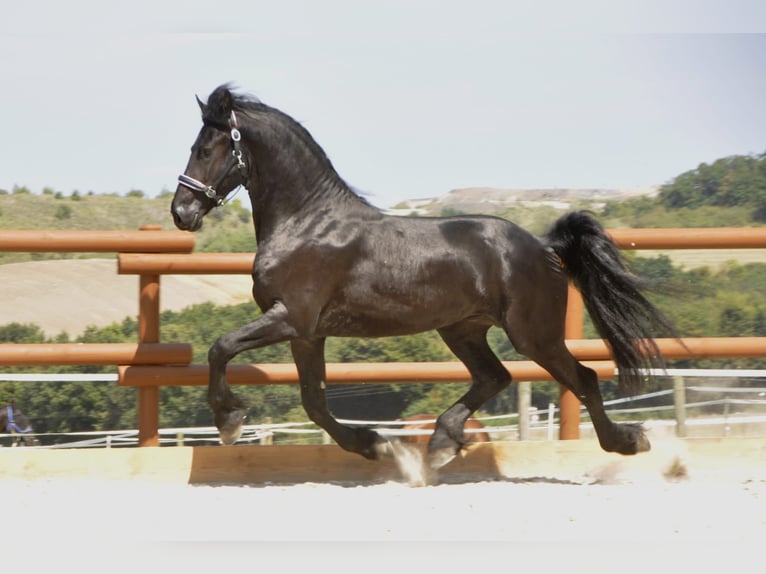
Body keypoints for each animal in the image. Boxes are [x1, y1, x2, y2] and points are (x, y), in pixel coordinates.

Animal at [171, 84, 675, 469]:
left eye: (207, 148)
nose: (181, 212)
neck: (307, 223)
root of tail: (542, 246)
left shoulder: (290, 318)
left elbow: (221, 348)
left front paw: (229, 420)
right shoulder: (307, 333)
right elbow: (314, 402)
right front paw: (373, 444)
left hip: (534, 334)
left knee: (582, 378)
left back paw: (627, 441)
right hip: (462, 329)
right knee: (494, 377)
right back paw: (441, 444)